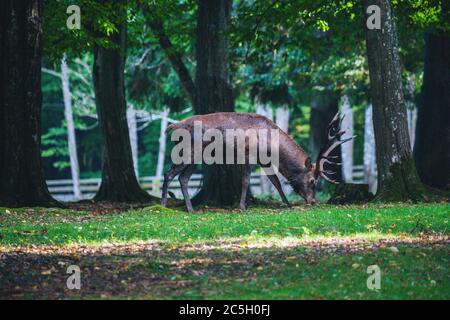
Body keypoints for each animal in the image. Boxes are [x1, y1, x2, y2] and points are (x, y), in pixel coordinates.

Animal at [161, 112, 352, 212]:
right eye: (312, 180)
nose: (313, 201)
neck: (271, 145)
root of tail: (172, 127)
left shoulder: (264, 161)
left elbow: (276, 182)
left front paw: (288, 204)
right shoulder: (248, 155)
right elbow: (246, 181)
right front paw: (242, 207)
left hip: (195, 156)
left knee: (183, 178)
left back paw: (191, 209)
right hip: (188, 152)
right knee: (169, 174)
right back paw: (163, 205)